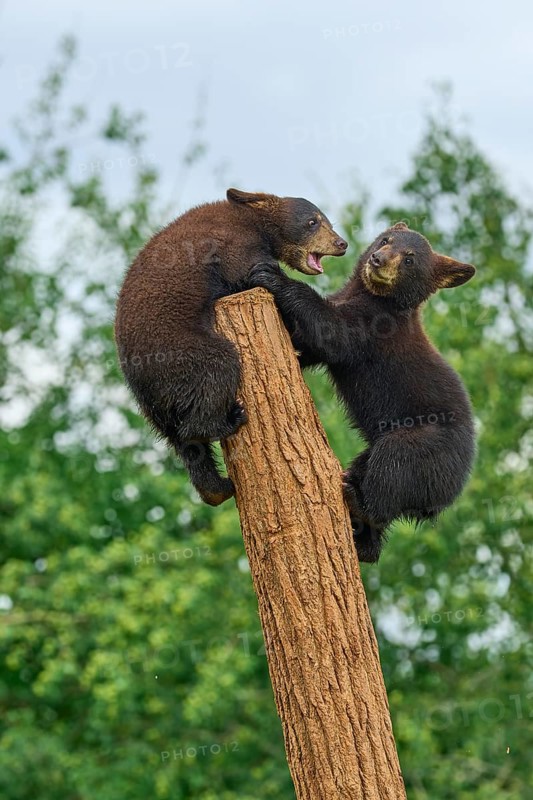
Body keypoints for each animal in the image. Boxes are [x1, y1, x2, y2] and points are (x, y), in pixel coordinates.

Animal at [114, 188, 348, 505]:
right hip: (179, 352)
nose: (341, 243)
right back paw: (227, 420)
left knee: (189, 450)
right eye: (313, 221)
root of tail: (141, 387)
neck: (255, 222)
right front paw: (269, 276)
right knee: (218, 368)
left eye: (326, 221)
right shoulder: (235, 246)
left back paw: (217, 488)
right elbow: (243, 274)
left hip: (158, 410)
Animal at [247, 221, 476, 562]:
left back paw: (358, 503)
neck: (375, 297)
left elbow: (332, 331)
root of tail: (446, 497)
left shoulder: (374, 327)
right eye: (385, 239)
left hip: (426, 444)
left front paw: (272, 275)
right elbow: (308, 344)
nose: (378, 260)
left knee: (393, 466)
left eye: (409, 259)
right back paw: (363, 537)